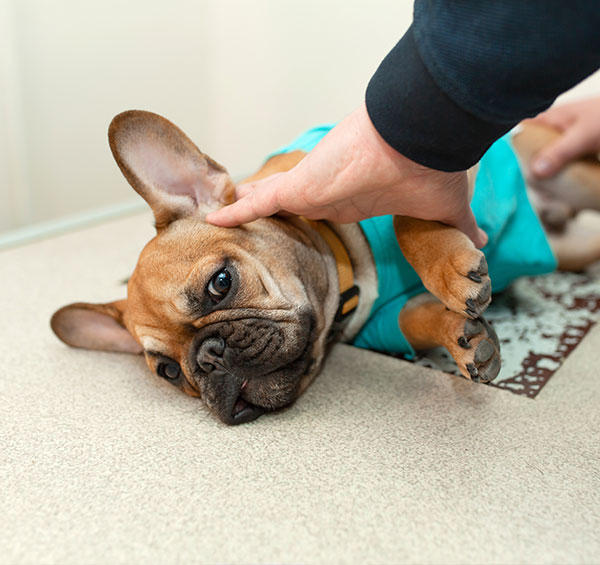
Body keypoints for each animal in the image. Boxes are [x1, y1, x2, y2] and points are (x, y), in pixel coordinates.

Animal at [50, 111, 600, 424]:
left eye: (220, 283)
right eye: (167, 372)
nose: (208, 359)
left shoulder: (419, 170)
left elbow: (408, 212)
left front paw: (449, 271)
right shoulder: (386, 323)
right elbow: (420, 320)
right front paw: (466, 342)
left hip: (572, 174)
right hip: (574, 246)